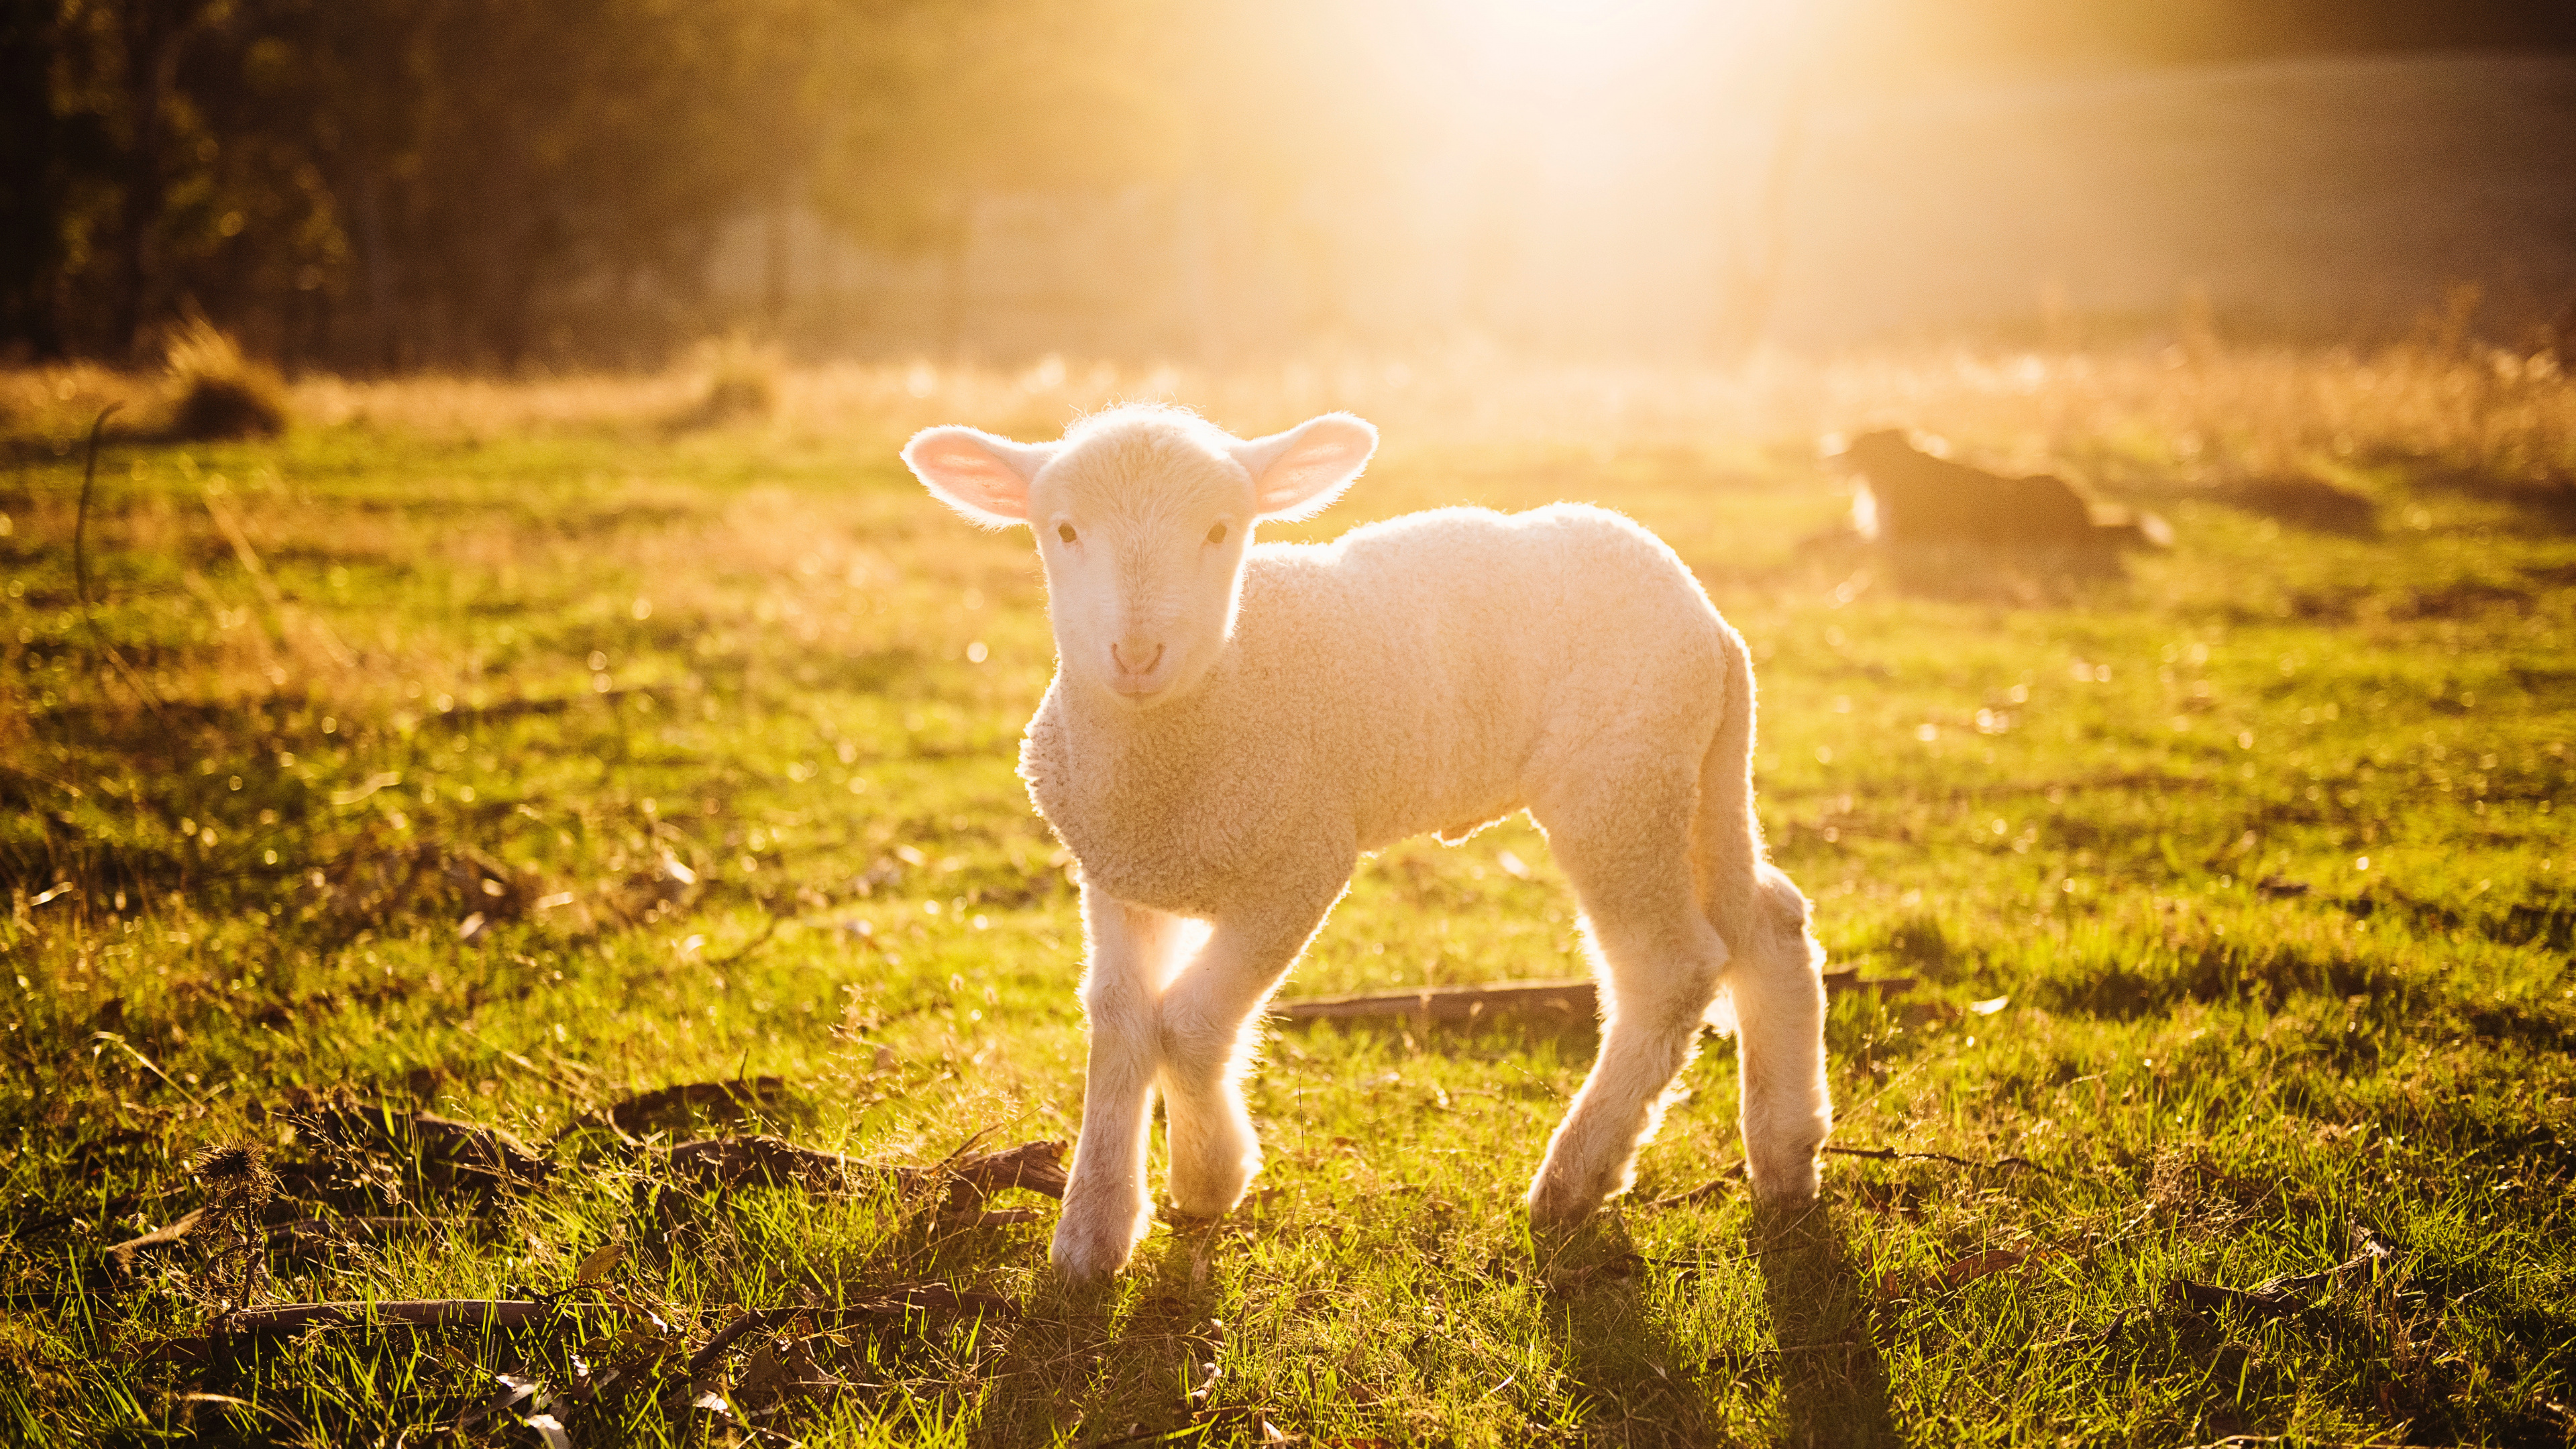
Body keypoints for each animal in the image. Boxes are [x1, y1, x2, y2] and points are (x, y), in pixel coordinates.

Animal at [901, 404, 1832, 1282]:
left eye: (1220, 529)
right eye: (1062, 529)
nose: (1135, 653)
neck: (1192, 721)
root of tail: (1711, 622)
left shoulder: (1301, 863)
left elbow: (1191, 1023)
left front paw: (1209, 1177)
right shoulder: (1118, 873)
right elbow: (1121, 1019)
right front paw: (1094, 1231)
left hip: (1619, 784)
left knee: (1668, 969)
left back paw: (1575, 1179)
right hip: (1697, 773)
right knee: (1769, 922)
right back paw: (1787, 1156)